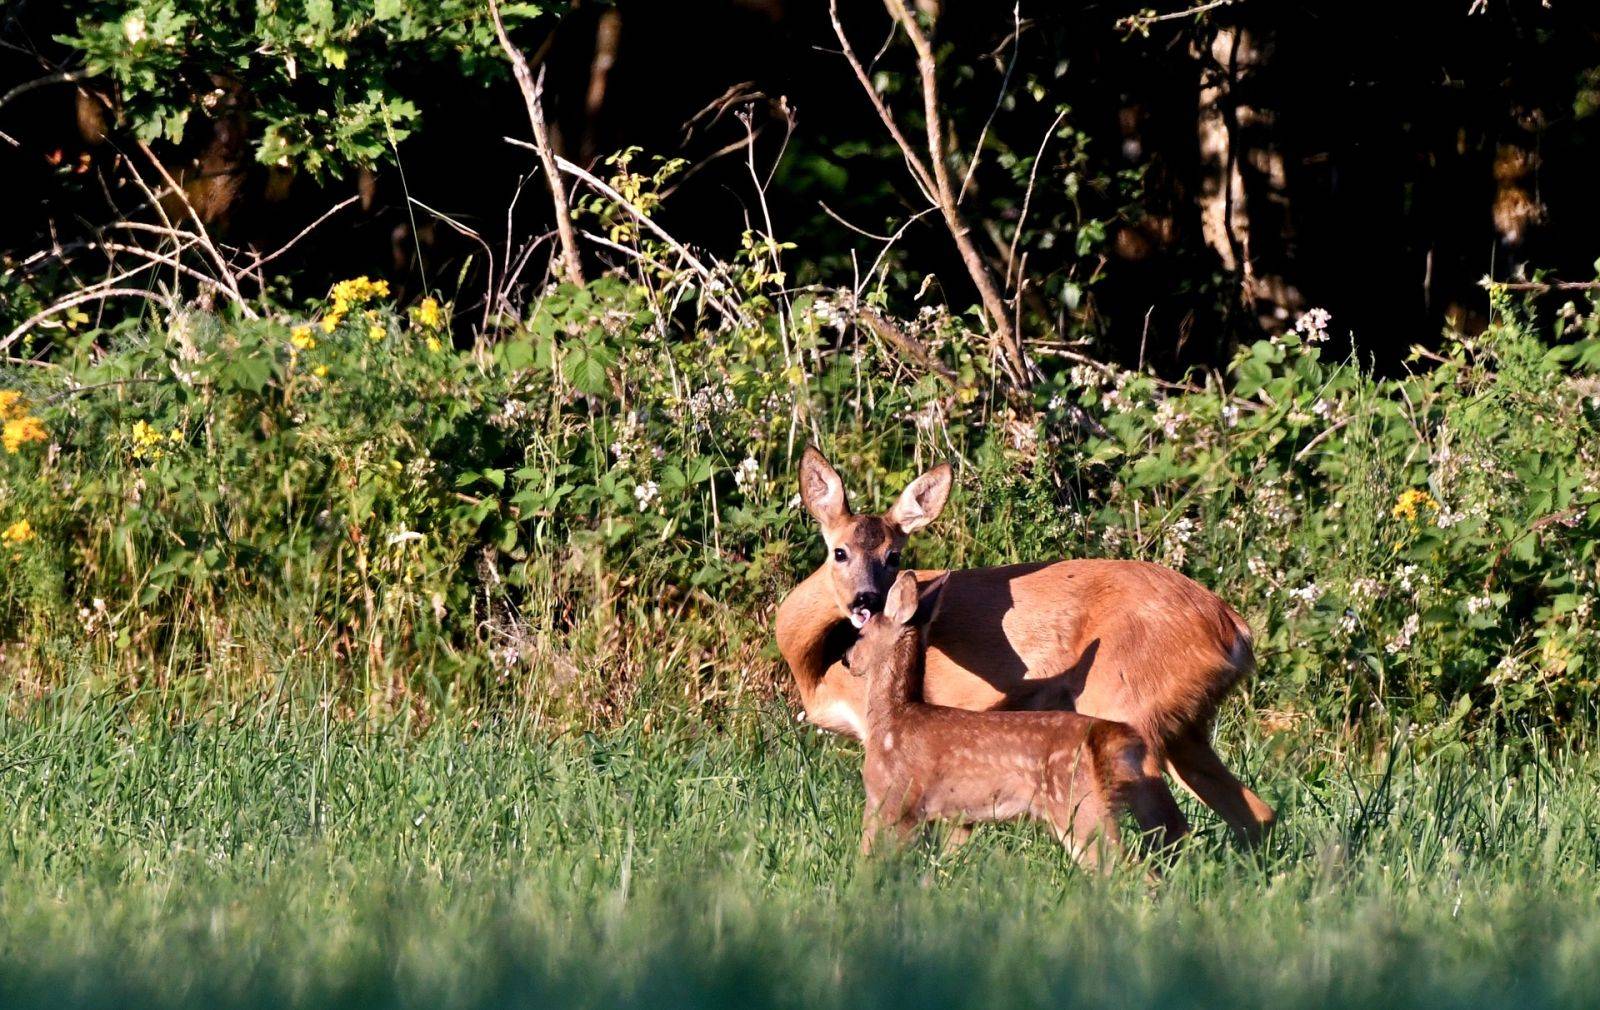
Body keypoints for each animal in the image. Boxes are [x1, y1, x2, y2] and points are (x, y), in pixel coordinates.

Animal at [774, 451, 1273, 845]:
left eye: (893, 556)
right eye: (839, 552)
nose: (868, 600)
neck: (815, 670)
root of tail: (1233, 631)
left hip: (1132, 706)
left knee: (1172, 827)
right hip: (1185, 724)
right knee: (1257, 814)